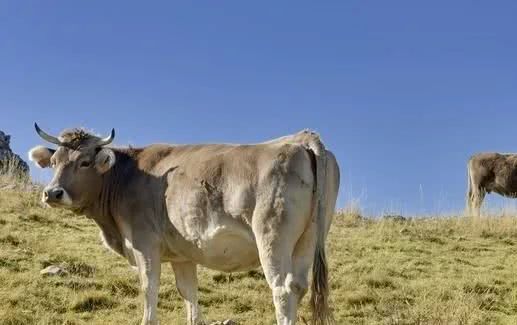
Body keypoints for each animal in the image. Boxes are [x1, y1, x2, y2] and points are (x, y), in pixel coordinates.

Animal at [30, 124, 340, 324]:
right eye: (55, 161)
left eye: (84, 162)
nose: (52, 193)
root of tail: (302, 138)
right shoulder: (182, 255)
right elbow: (189, 294)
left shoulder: (144, 244)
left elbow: (149, 288)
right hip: (309, 239)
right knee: (298, 286)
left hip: (272, 237)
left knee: (283, 290)